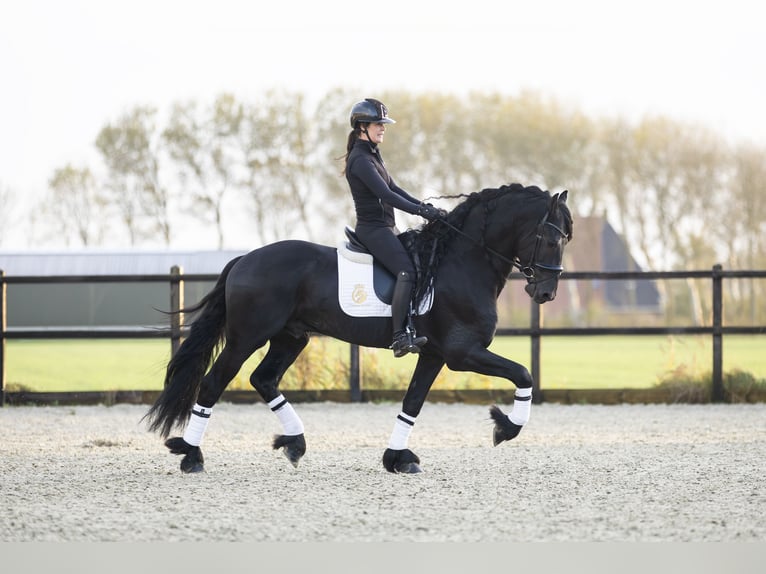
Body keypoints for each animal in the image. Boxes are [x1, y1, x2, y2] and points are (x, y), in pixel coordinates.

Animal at [147, 186, 572, 476]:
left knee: (263, 379)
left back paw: (294, 443)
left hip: (290, 337)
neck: (462, 262)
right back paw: (191, 455)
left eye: (566, 239)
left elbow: (412, 403)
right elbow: (523, 373)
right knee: (213, 383)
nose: (546, 293)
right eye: (552, 238)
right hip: (246, 336)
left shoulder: (434, 354)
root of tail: (245, 259)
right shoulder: (462, 353)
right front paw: (506, 428)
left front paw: (398, 459)